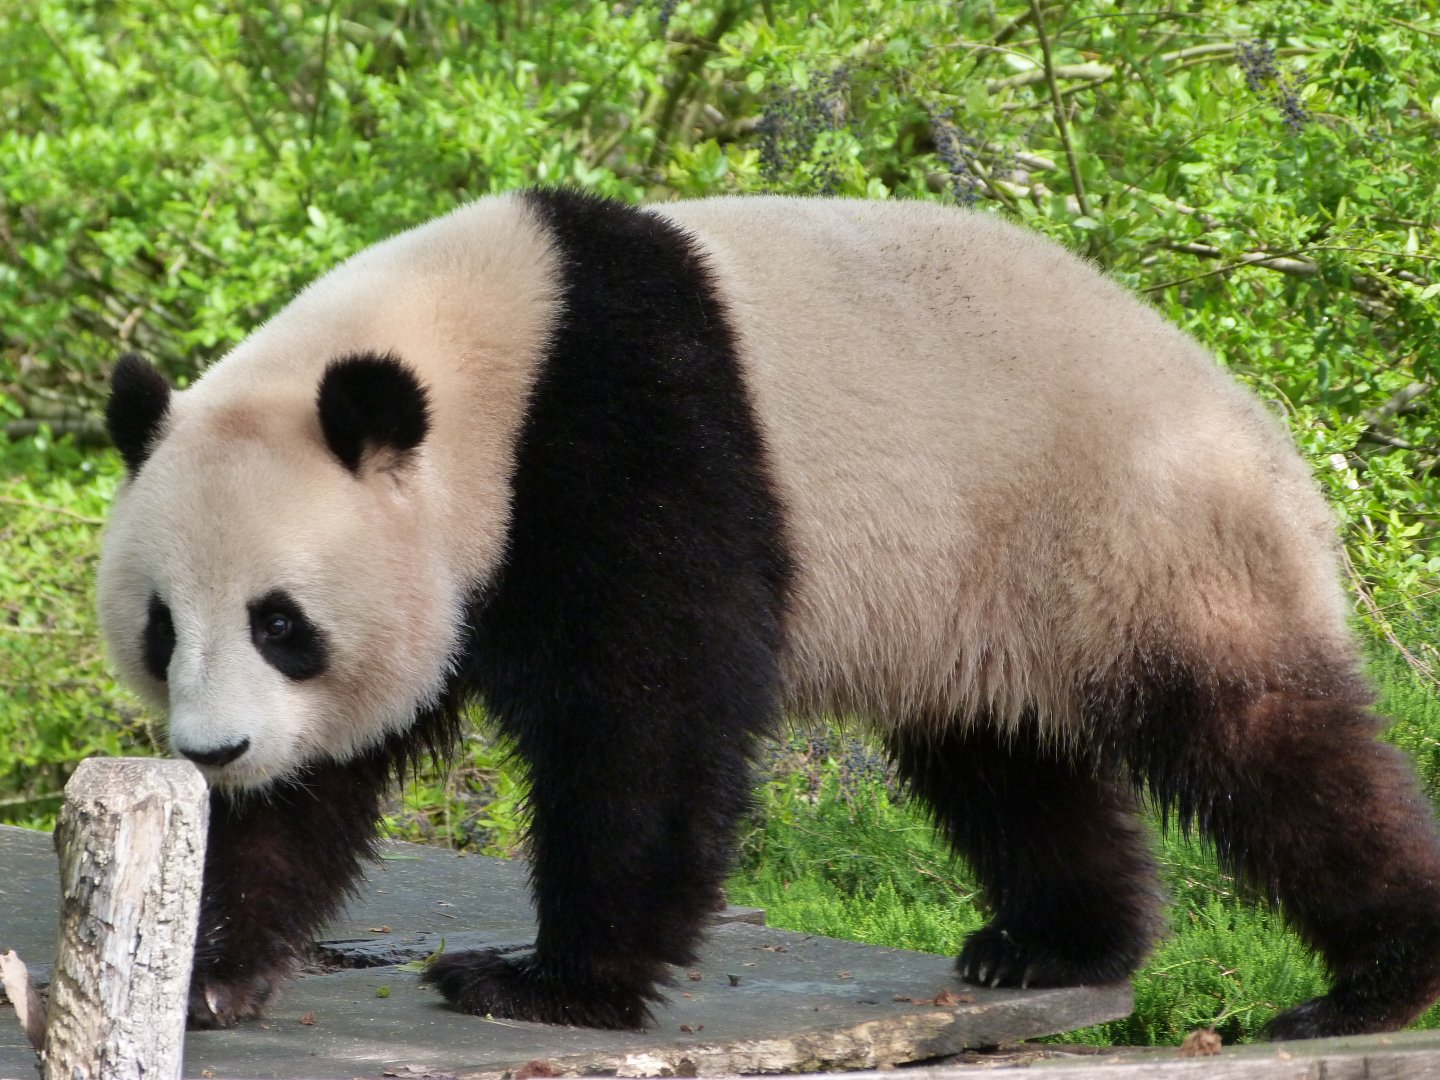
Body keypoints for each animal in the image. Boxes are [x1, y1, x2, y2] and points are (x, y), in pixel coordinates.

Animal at [97, 189, 1440, 1040]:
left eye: (282, 624)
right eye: (163, 629)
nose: (215, 750)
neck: (483, 365)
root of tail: (1272, 440)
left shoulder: (626, 439)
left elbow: (649, 714)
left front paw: (544, 983)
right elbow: (322, 782)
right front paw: (206, 972)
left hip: (1137, 535)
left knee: (1266, 744)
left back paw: (1375, 979)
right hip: (987, 593)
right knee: (1005, 762)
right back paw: (1056, 944)